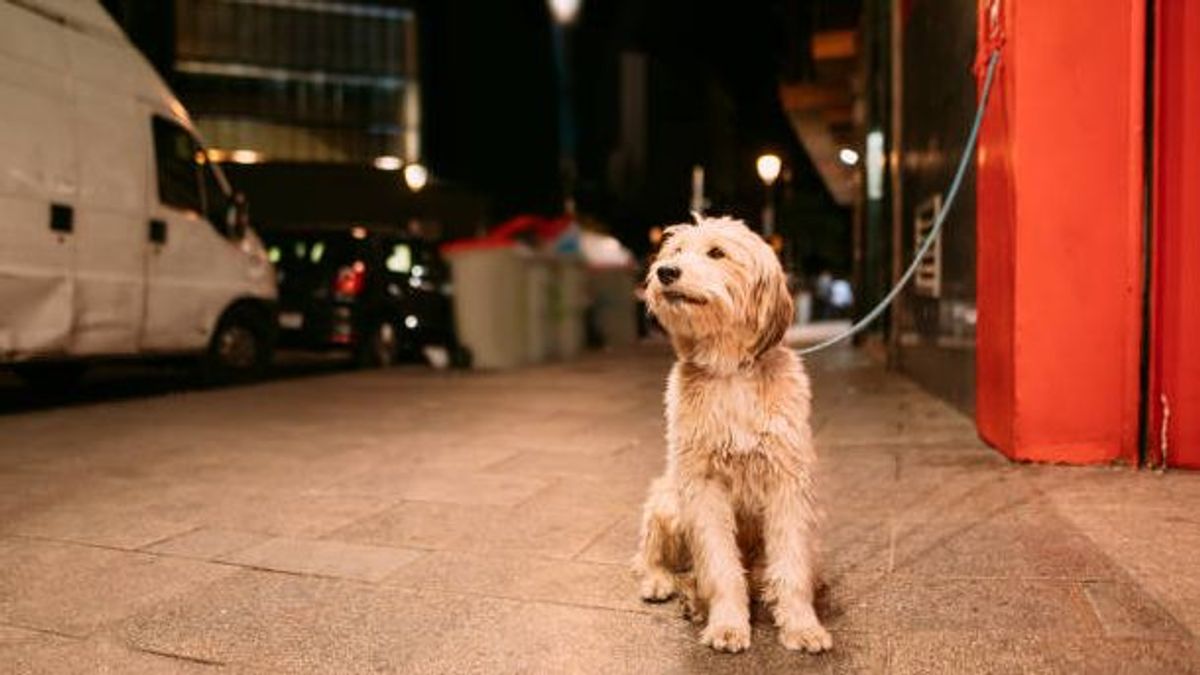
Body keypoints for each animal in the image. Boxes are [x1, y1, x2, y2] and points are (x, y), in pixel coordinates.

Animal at [633, 214, 830, 653]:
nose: (665, 272)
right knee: (650, 556)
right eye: (675, 251)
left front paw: (801, 625)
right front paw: (726, 624)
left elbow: (791, 566)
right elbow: (720, 568)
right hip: (668, 499)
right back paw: (664, 583)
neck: (729, 372)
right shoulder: (703, 488)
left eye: (717, 253)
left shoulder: (788, 486)